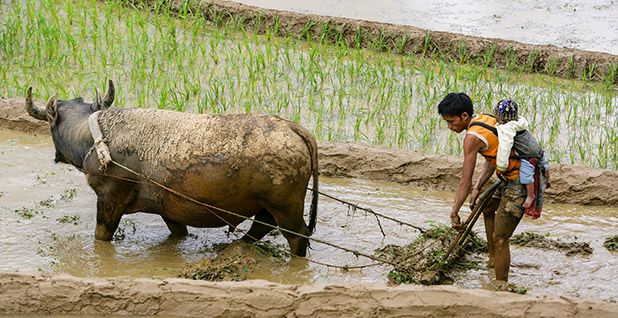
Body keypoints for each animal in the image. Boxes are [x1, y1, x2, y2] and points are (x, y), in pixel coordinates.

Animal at [25, 80, 318, 258]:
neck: (96, 138)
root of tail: (294, 129)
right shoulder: (169, 210)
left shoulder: (109, 200)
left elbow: (101, 235)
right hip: (270, 207)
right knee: (260, 228)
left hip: (286, 207)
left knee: (297, 236)